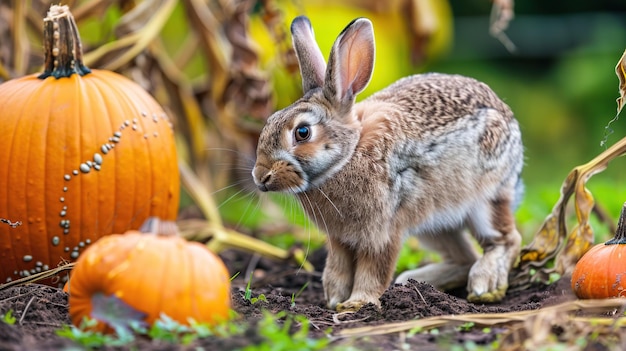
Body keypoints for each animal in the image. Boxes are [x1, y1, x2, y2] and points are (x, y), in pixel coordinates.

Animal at [251, 15, 524, 314]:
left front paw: (357, 303)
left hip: (485, 200)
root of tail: (508, 120)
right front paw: (334, 300)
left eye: (302, 132)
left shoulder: (382, 232)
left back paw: (485, 285)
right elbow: (337, 268)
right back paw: (413, 281)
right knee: (464, 257)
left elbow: (373, 270)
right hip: (433, 224)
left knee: (506, 240)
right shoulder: (340, 239)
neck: (348, 155)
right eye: (269, 122)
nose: (260, 177)